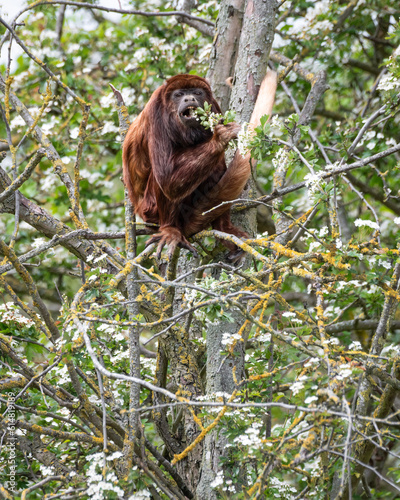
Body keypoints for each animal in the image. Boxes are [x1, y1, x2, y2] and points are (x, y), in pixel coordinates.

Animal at [123, 70, 276, 258]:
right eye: (179, 94)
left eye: (197, 92)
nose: (189, 98)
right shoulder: (156, 115)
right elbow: (167, 179)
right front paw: (221, 138)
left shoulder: (214, 107)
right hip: (150, 211)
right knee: (164, 180)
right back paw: (170, 229)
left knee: (215, 169)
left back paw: (223, 227)